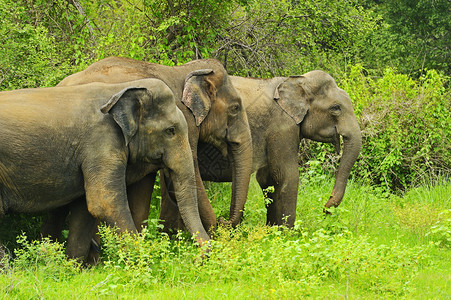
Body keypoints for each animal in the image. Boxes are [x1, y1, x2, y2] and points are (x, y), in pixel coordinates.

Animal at [0, 78, 208, 260]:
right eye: (170, 131)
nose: (196, 259)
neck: (119, 88)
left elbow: (85, 209)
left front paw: (73, 269)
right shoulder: (101, 142)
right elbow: (104, 203)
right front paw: (144, 264)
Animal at [160, 70, 364, 229]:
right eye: (336, 108)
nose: (326, 207)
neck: (297, 80)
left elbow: (268, 178)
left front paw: (272, 231)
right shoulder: (282, 126)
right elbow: (286, 175)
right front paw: (286, 236)